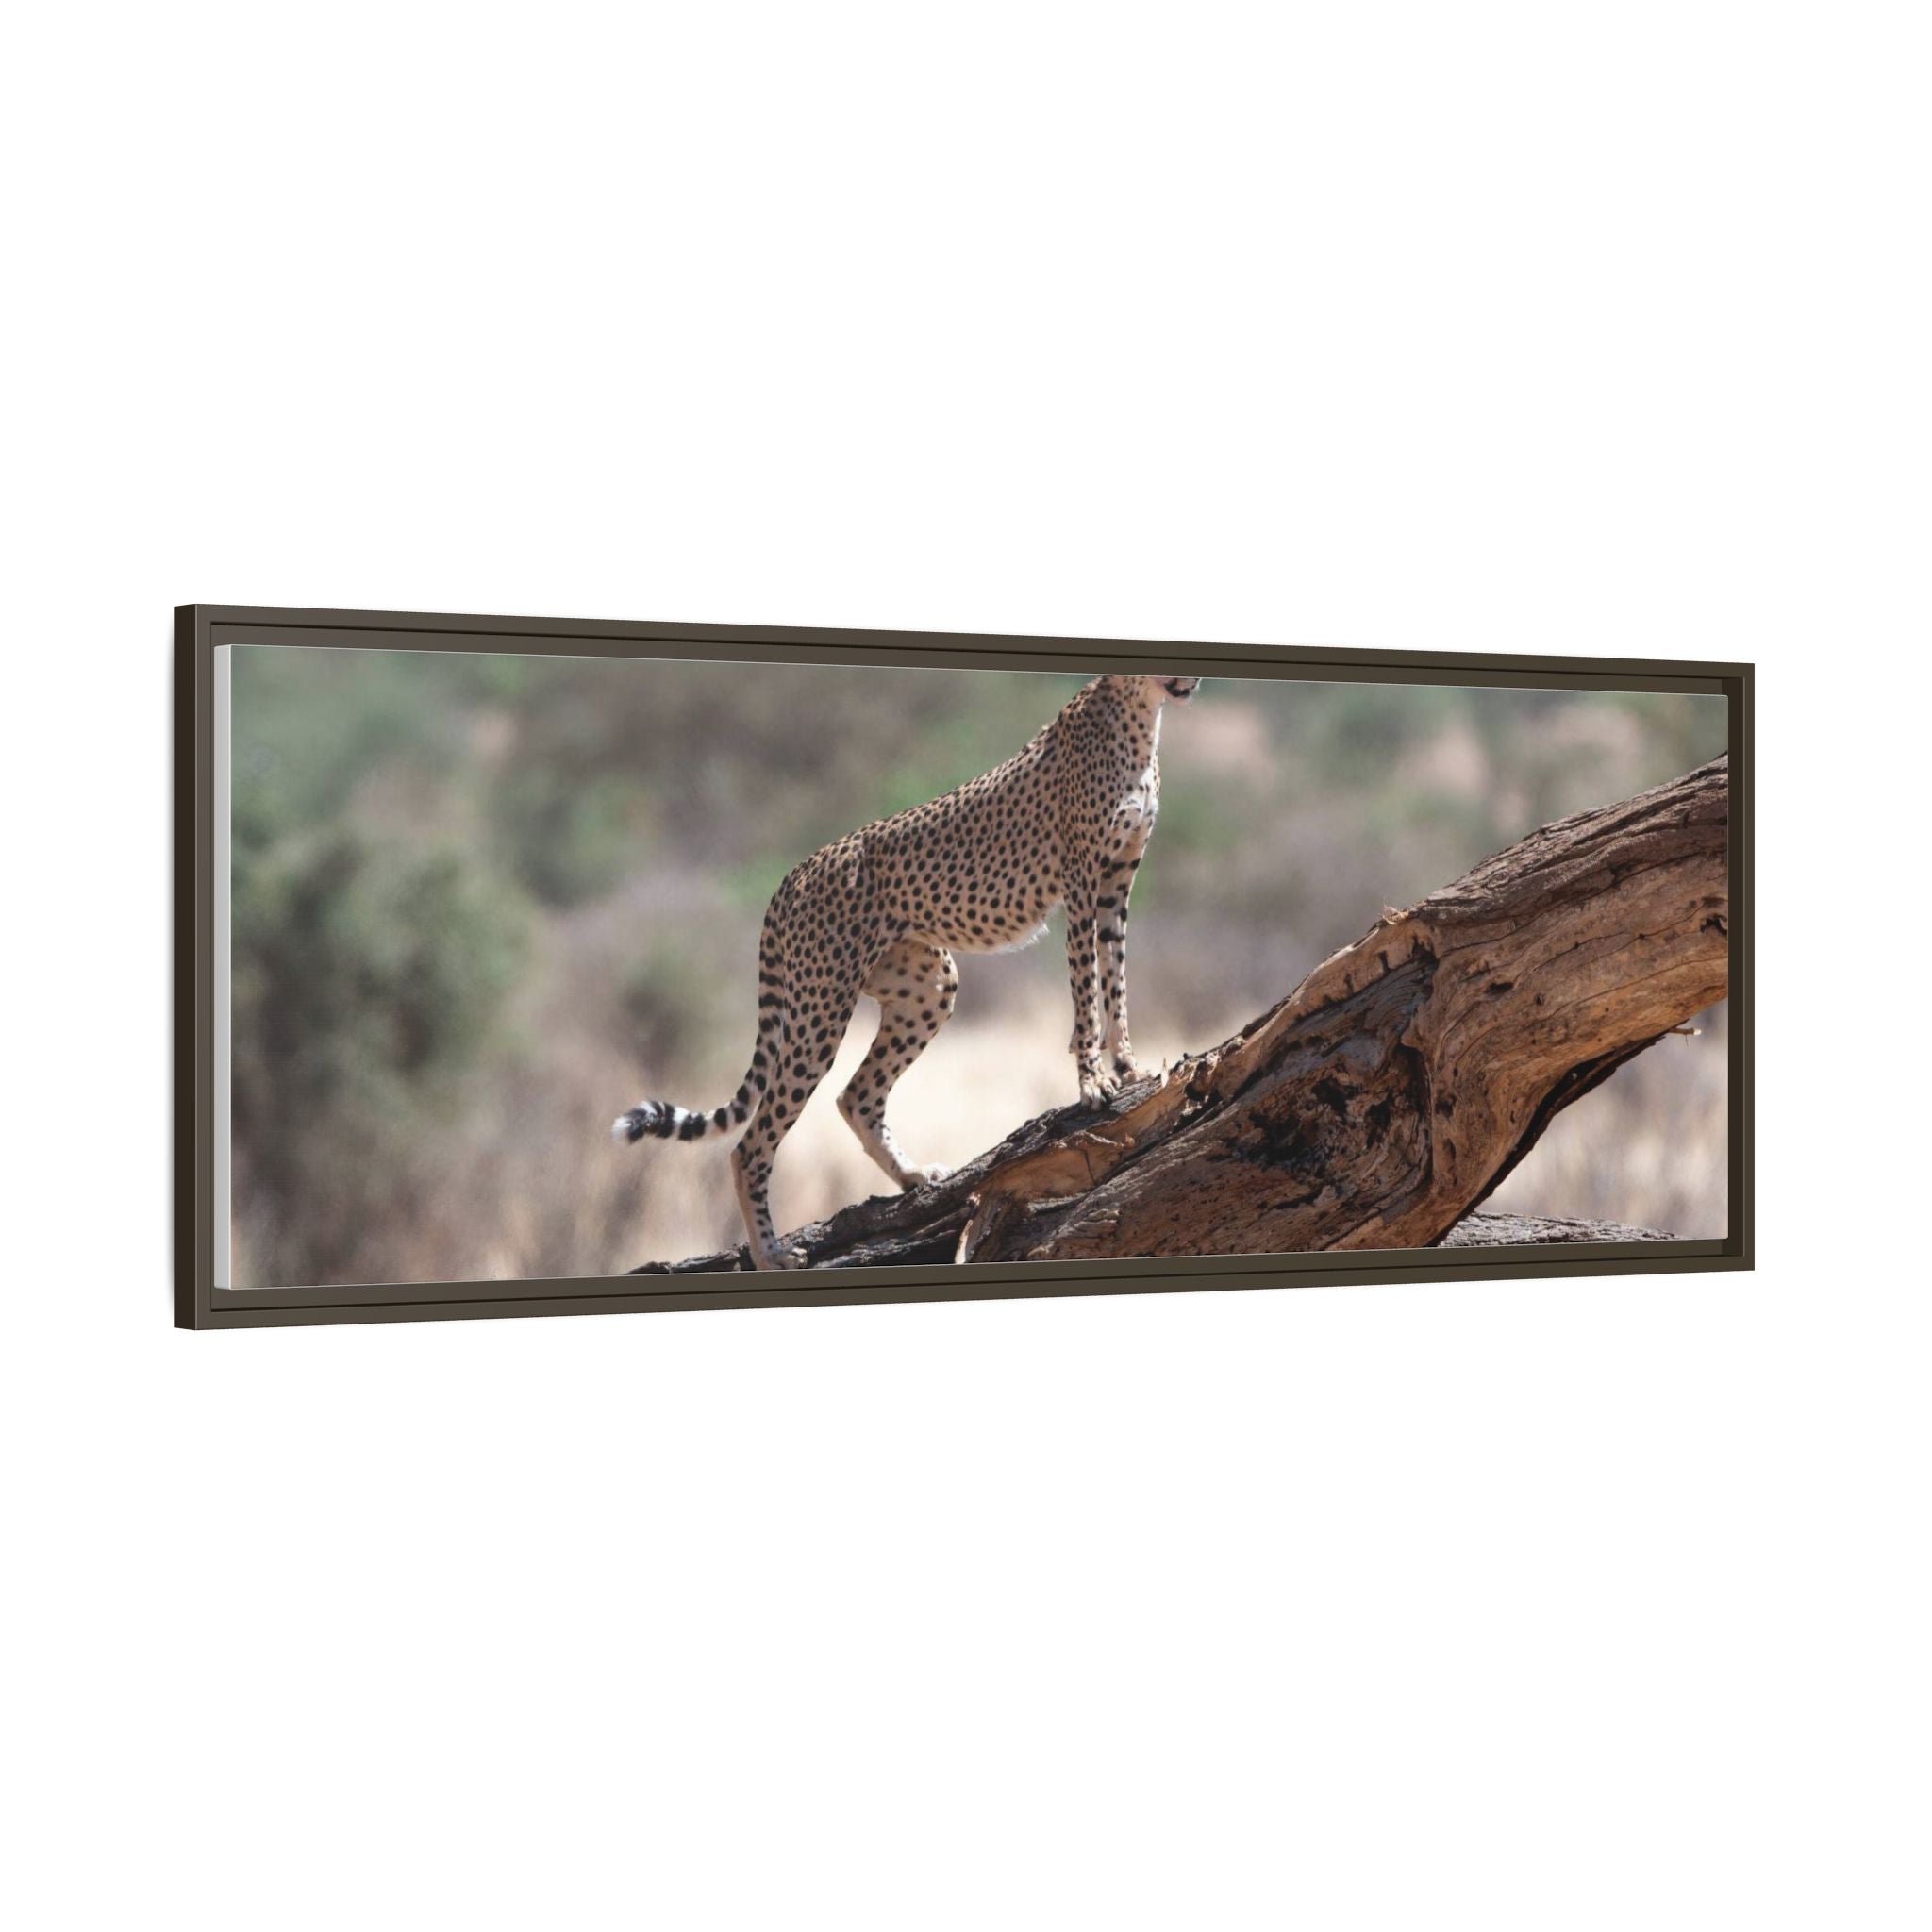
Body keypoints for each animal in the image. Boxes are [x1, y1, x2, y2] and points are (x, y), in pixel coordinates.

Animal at [612, 671, 1201, 1269]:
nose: (1193, 680)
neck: (1140, 715)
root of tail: (795, 872)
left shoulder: (1117, 881)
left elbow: (1115, 978)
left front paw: (1128, 1067)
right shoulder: (1081, 880)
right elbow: (1086, 987)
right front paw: (1092, 1081)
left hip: (928, 987)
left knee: (856, 1097)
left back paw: (913, 1176)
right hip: (820, 1009)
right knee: (751, 1144)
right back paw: (770, 1253)